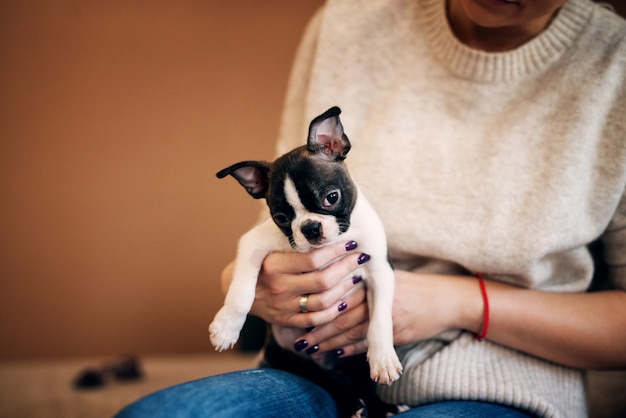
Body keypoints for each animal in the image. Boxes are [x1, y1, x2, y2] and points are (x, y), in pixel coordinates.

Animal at [208, 107, 400, 414]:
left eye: (331, 197)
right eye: (281, 218)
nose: (310, 228)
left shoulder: (380, 270)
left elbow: (380, 320)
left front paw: (383, 359)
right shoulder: (252, 244)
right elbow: (240, 292)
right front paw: (227, 327)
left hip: (354, 360)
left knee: (360, 382)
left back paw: (381, 406)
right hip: (291, 359)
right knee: (330, 380)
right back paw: (352, 404)